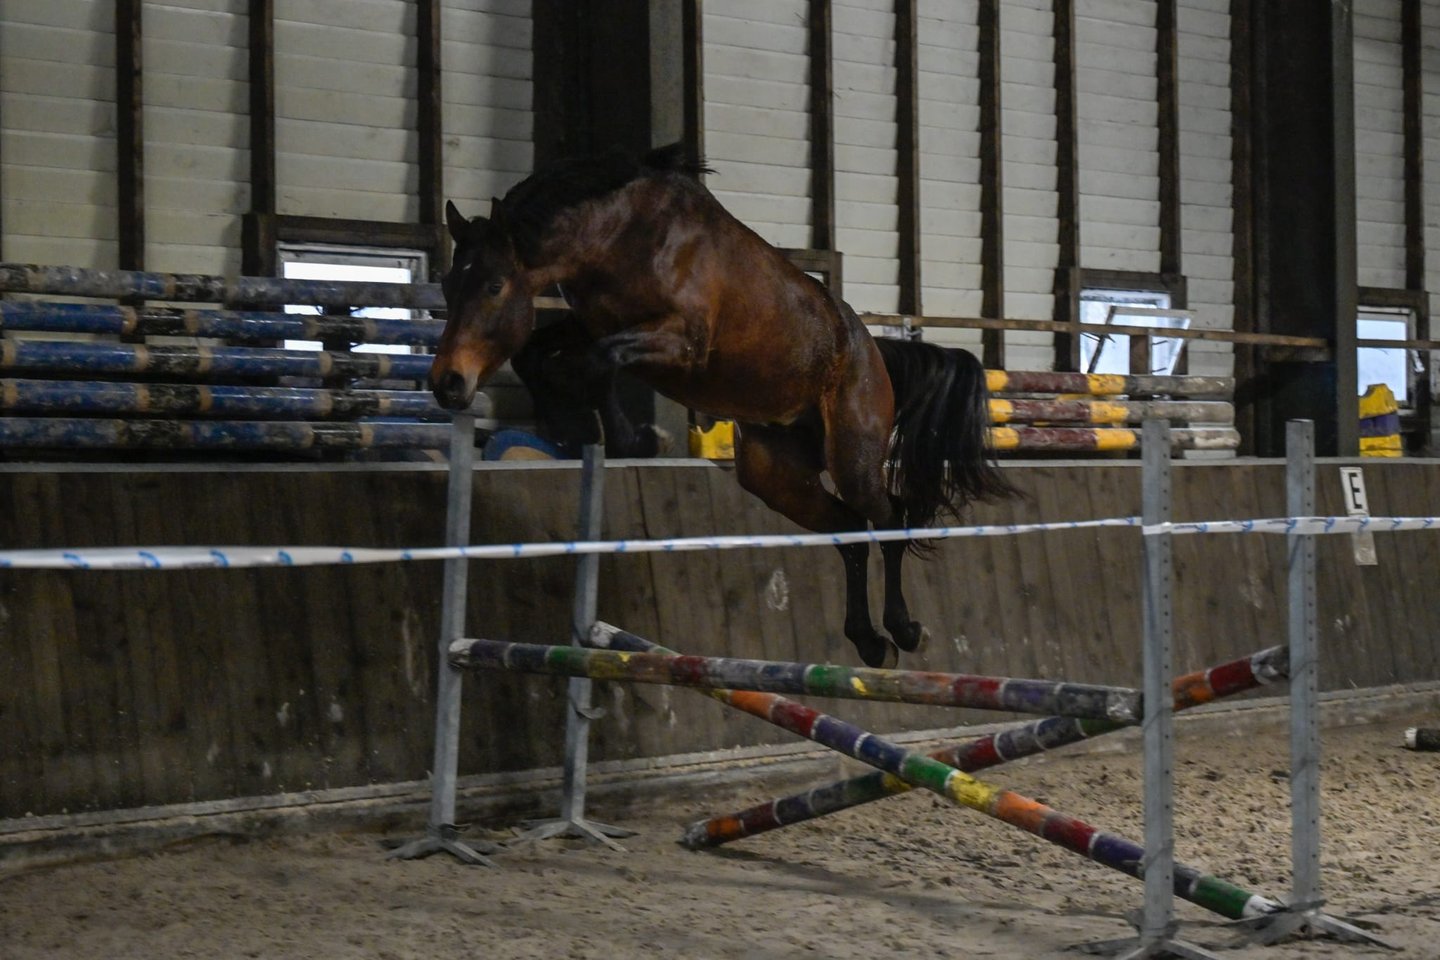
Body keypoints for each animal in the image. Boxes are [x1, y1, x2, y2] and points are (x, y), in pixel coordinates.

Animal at [431, 144, 1018, 668]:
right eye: (447, 284)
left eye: (494, 285)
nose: (447, 383)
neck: (624, 237)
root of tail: (874, 352)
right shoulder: (590, 323)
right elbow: (538, 355)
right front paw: (573, 429)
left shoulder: (679, 341)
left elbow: (597, 362)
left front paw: (638, 439)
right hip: (774, 476)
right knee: (850, 534)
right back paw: (870, 643)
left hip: (853, 456)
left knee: (889, 519)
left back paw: (904, 630)